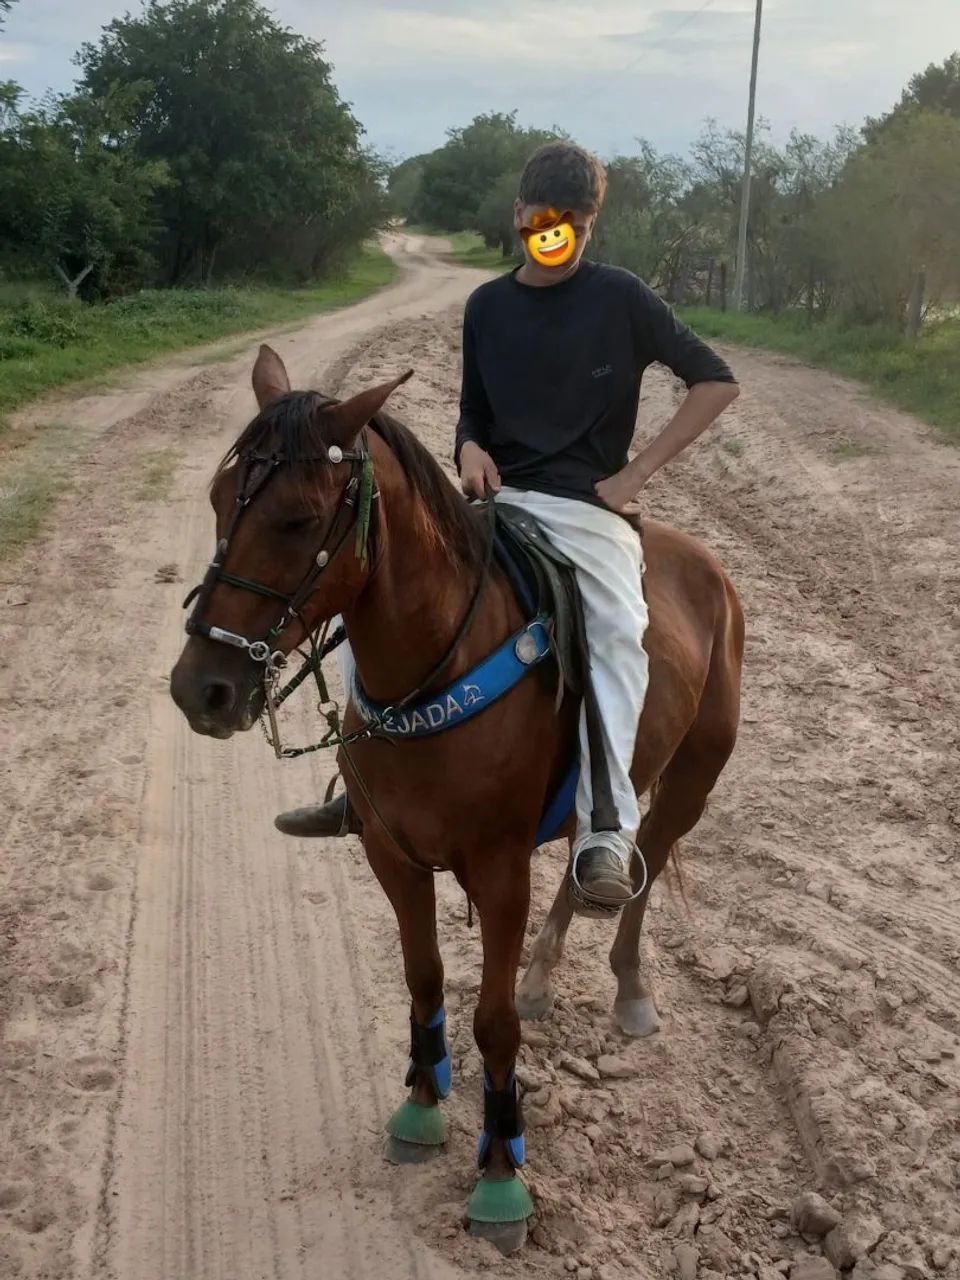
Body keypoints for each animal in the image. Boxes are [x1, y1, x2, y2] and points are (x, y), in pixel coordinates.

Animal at [170, 345, 745, 1254]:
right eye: (221, 500)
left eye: (297, 519)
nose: (204, 689)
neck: (440, 659)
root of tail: (707, 568)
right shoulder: (393, 857)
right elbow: (426, 979)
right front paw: (420, 1105)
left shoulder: (500, 875)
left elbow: (493, 1020)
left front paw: (502, 1176)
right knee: (591, 866)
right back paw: (547, 973)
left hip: (692, 777)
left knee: (640, 868)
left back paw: (629, 989)